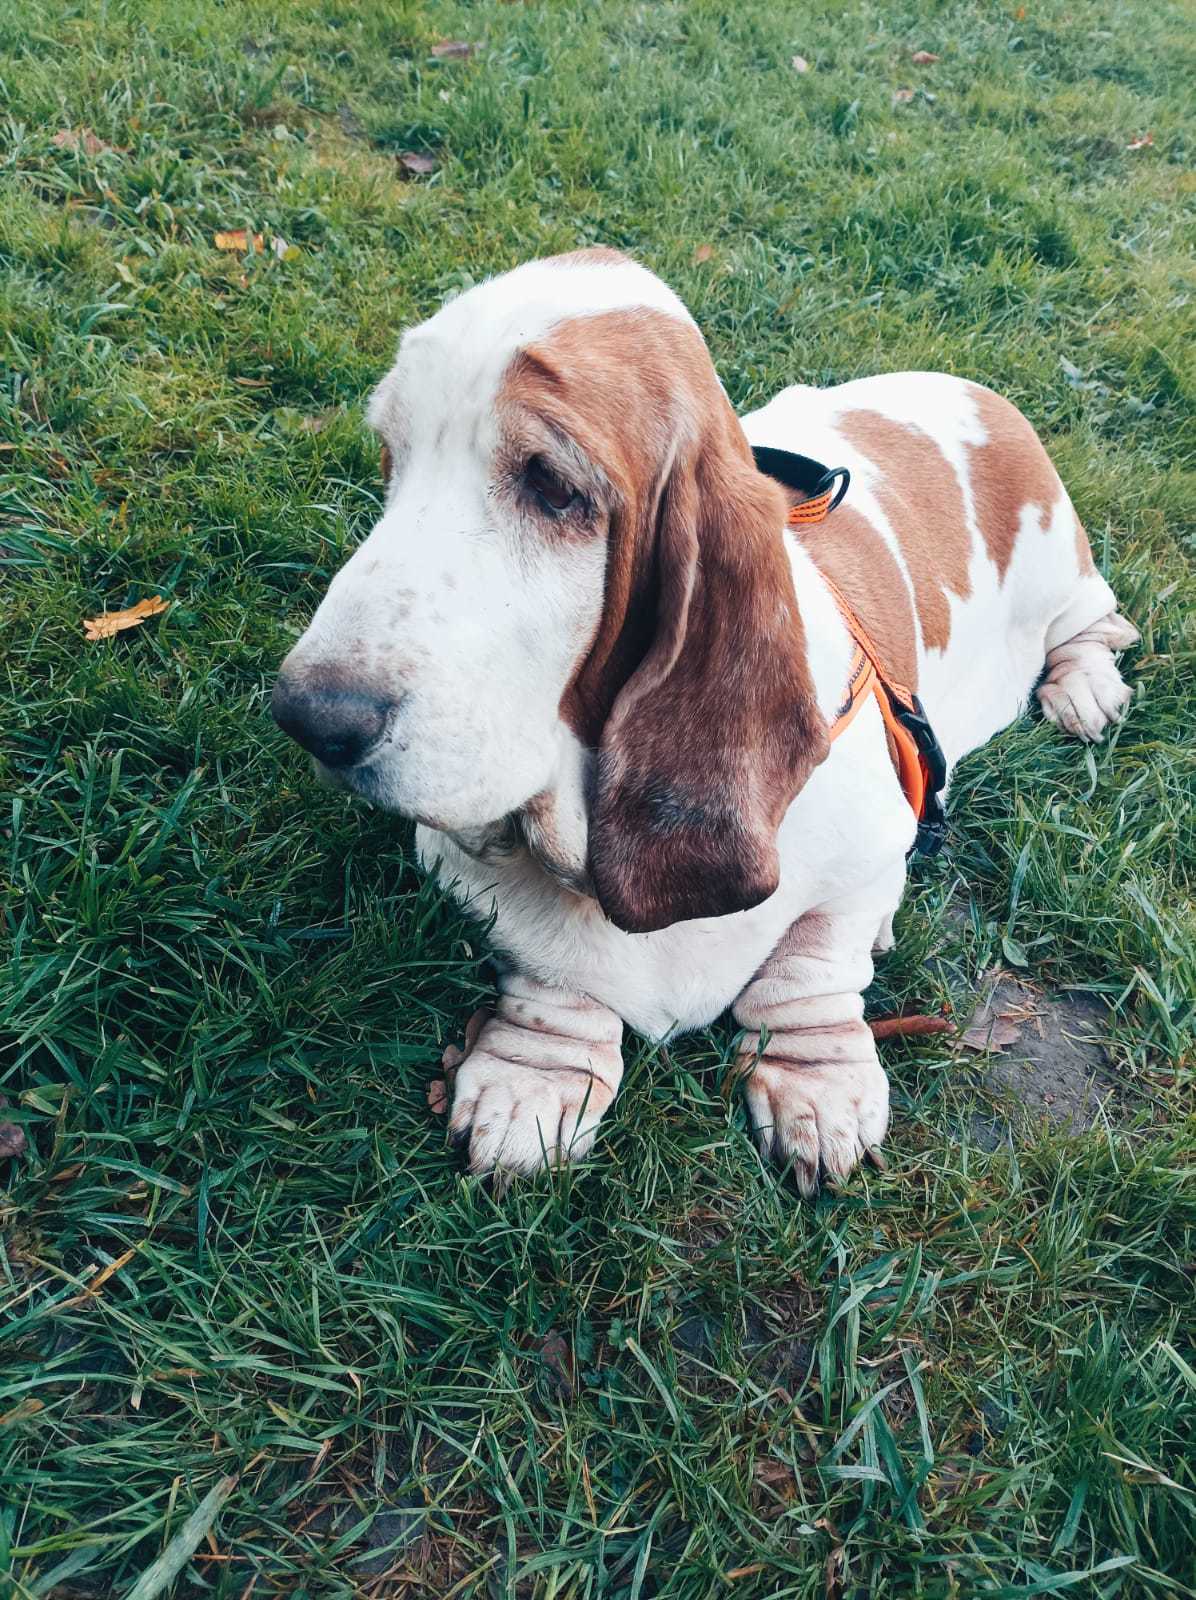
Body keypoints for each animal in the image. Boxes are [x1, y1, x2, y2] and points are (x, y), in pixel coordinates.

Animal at [273, 248, 1137, 1193]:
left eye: (552, 484)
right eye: (392, 456)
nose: (308, 715)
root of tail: (974, 389)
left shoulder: (877, 847)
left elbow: (811, 965)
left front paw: (817, 1083)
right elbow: (545, 967)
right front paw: (536, 1078)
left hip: (1063, 566)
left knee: (1099, 624)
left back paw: (1085, 691)